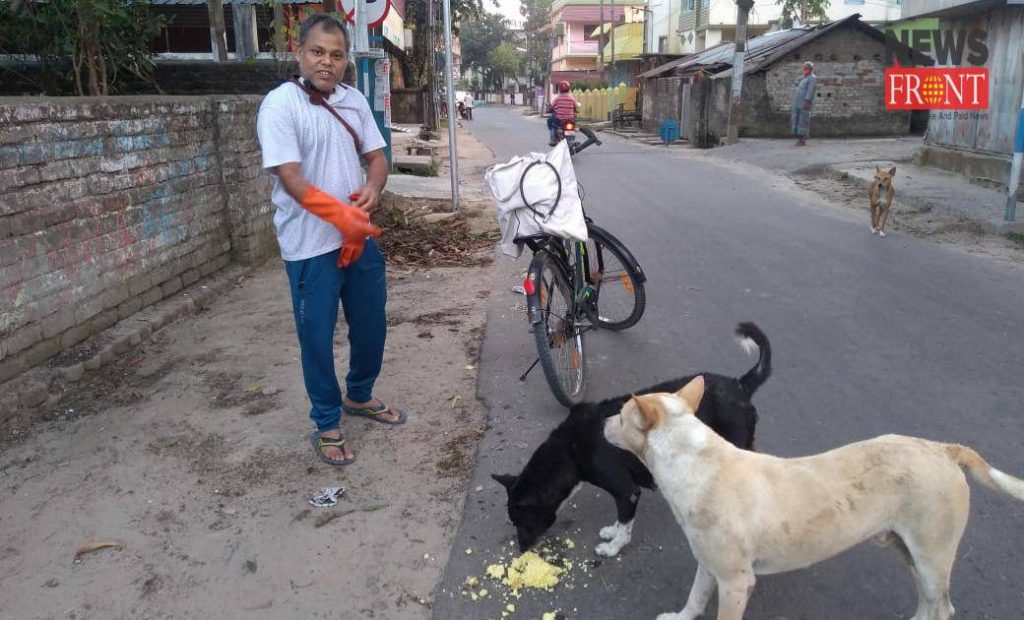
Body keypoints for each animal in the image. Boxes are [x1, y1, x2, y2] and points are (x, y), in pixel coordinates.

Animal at [491, 323, 770, 557]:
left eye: (523, 522)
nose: (521, 549)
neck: (570, 449)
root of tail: (740, 384)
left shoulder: (627, 492)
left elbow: (625, 525)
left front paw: (613, 547)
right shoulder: (624, 493)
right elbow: (621, 520)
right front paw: (612, 532)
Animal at [598, 375, 1024, 618]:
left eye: (621, 414)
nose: (601, 421)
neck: (697, 464)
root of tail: (942, 448)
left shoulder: (737, 583)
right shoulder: (710, 564)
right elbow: (695, 599)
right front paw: (682, 616)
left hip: (933, 559)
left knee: (942, 605)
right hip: (909, 553)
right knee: (932, 605)